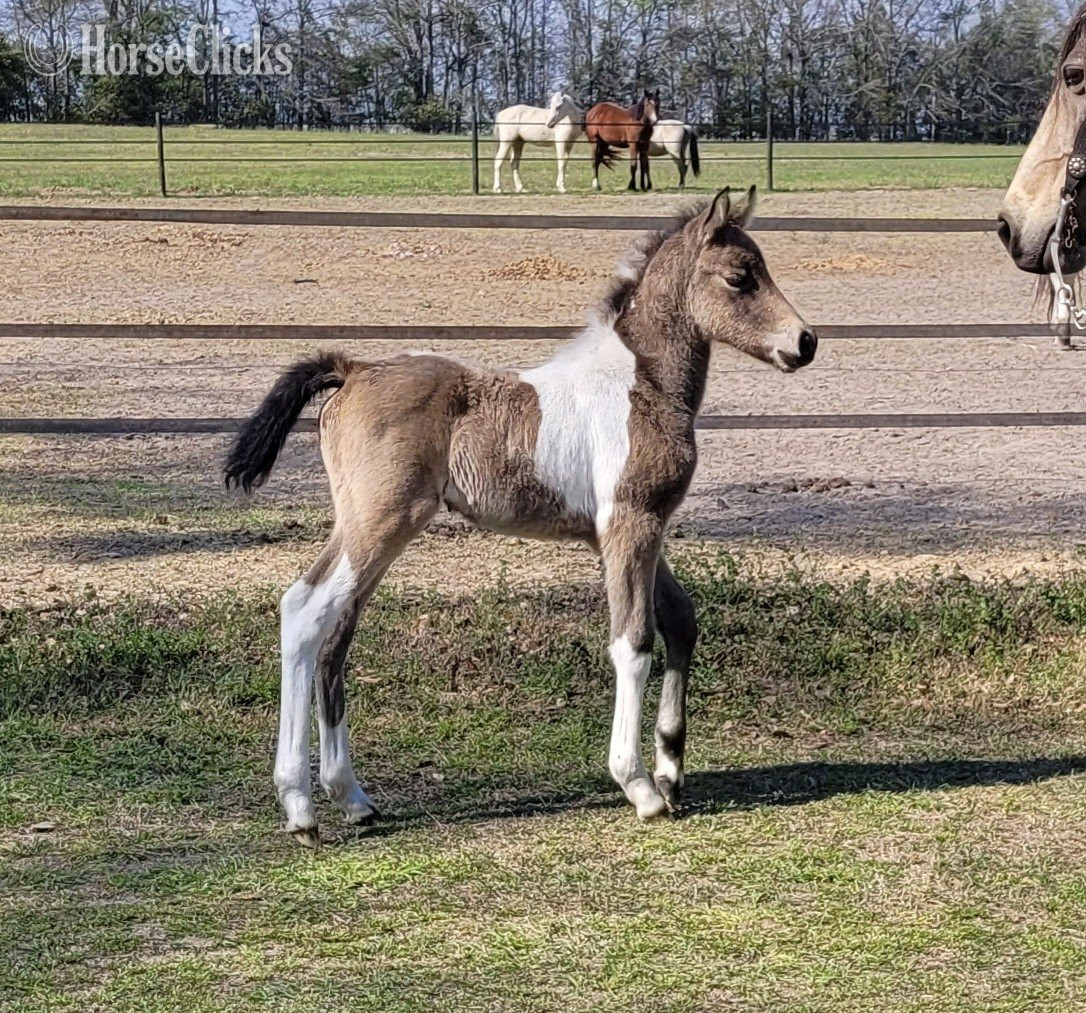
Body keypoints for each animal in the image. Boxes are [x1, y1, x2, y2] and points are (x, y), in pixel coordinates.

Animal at [225, 186, 817, 848]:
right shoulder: (629, 524)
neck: (640, 385)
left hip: (364, 528)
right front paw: (639, 786)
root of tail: (353, 370)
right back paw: (300, 807)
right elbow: (633, 640)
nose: (805, 342)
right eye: (740, 277)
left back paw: (351, 797)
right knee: (304, 611)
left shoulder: (634, 531)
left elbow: (680, 622)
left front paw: (671, 769)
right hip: (381, 522)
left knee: (335, 635)